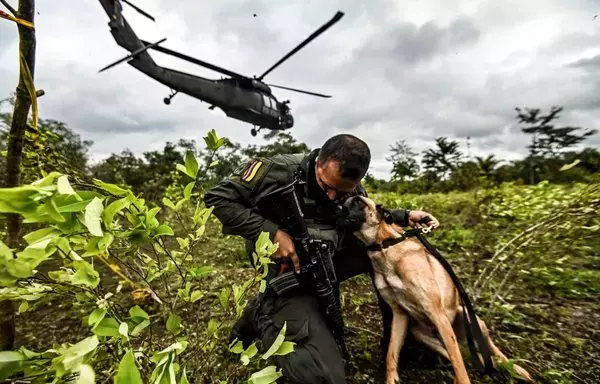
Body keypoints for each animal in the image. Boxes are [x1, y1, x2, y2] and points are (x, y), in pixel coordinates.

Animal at [344, 196, 536, 382]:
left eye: (358, 201)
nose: (339, 205)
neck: (385, 246)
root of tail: (465, 343)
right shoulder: (400, 314)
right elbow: (391, 353)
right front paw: (392, 379)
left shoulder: (436, 313)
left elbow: (460, 370)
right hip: (424, 335)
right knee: (466, 358)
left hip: (471, 320)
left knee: (489, 353)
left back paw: (516, 369)